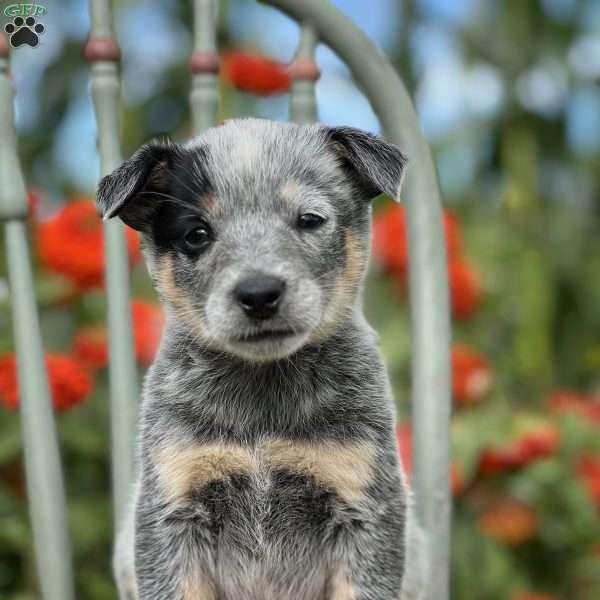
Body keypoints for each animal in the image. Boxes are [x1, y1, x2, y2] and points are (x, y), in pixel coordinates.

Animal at [96, 118, 420, 600]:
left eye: (309, 219)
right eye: (197, 234)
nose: (259, 293)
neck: (262, 397)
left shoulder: (365, 505)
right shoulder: (171, 508)